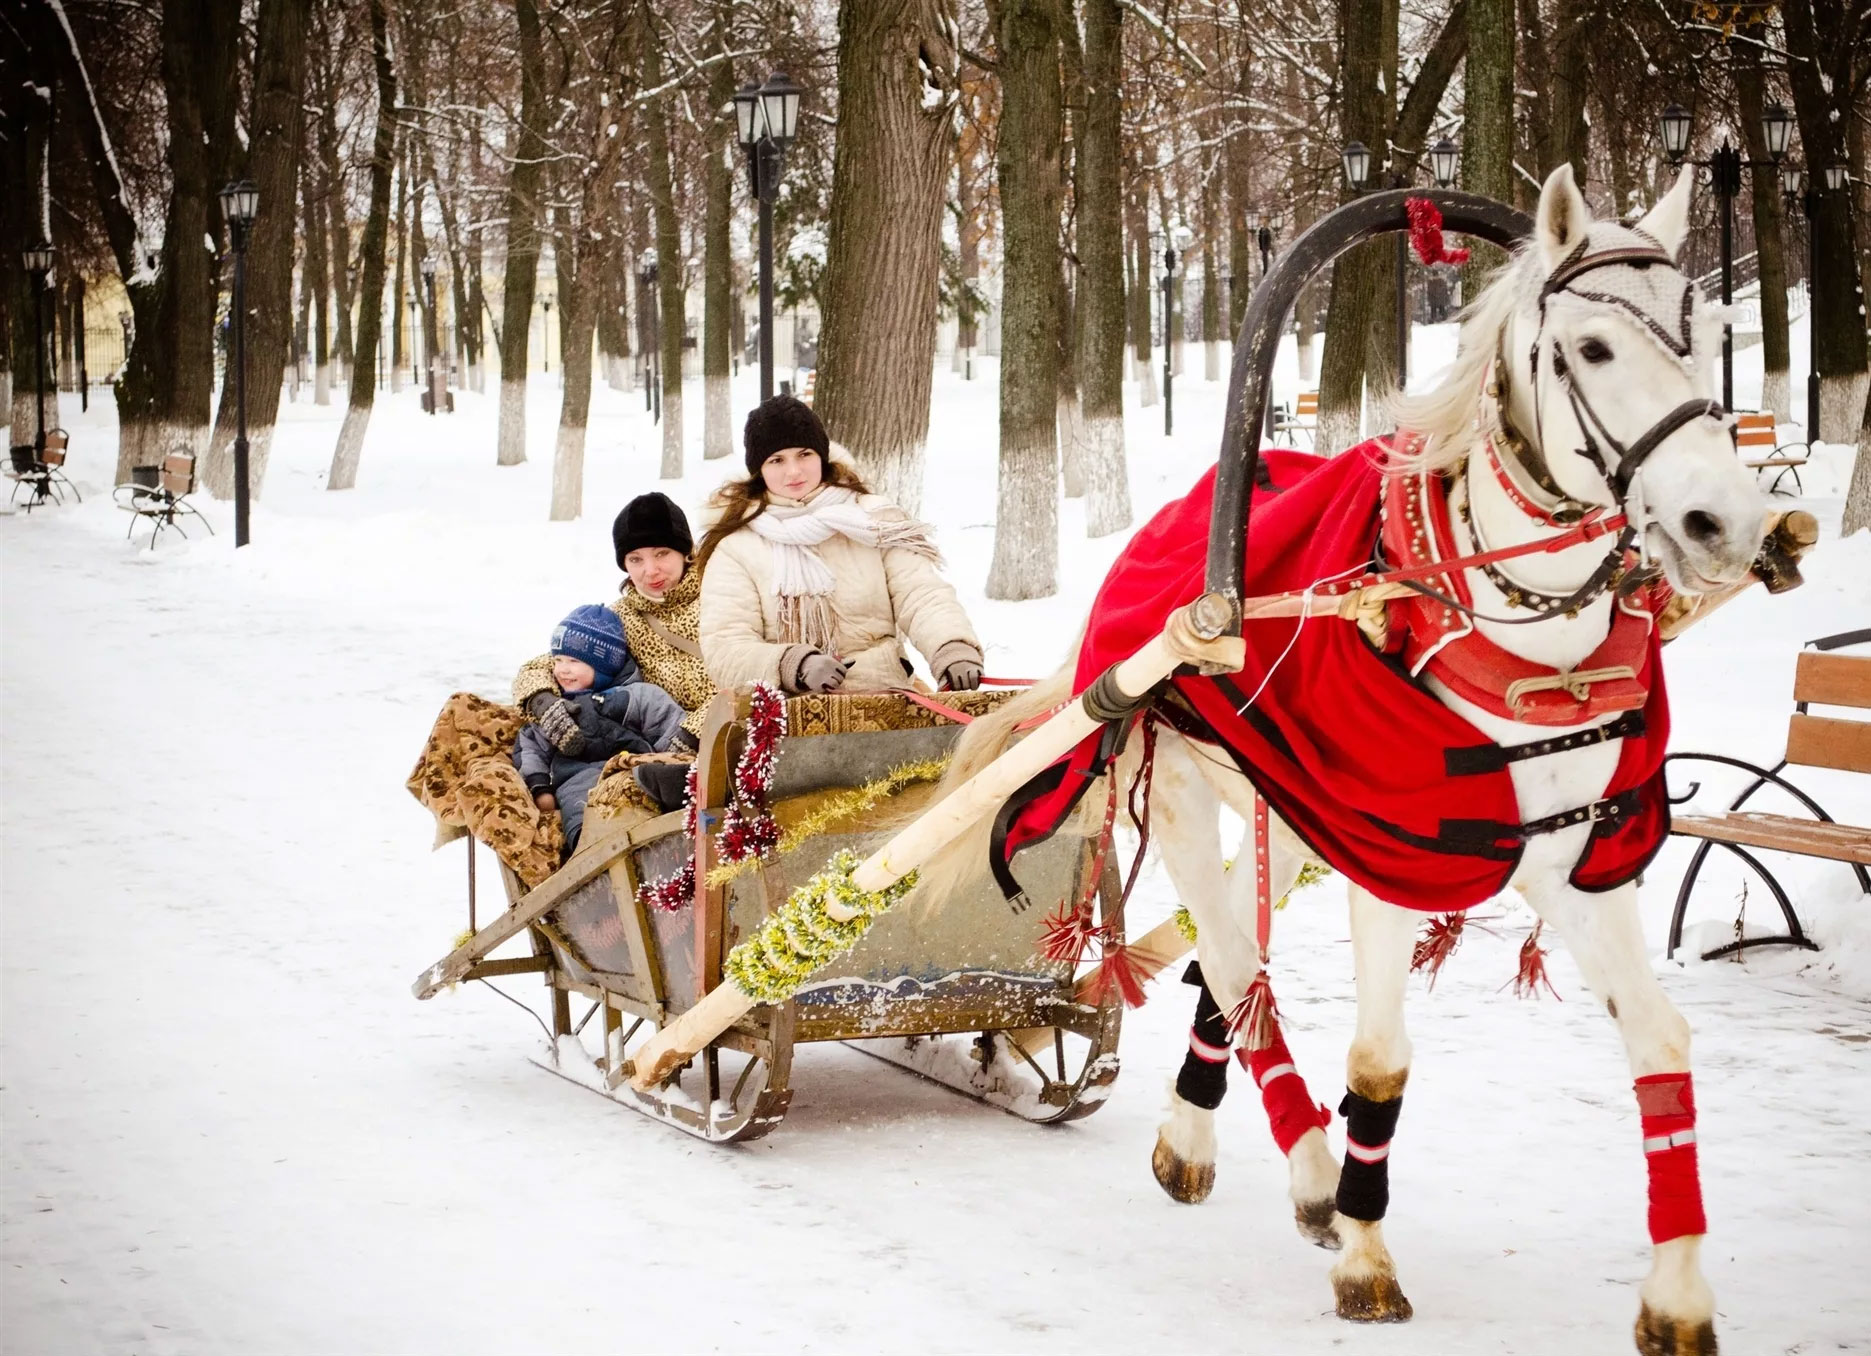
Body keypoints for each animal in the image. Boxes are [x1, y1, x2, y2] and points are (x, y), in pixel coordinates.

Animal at [935, 169, 1766, 1354]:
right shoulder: (1391, 861)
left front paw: (1679, 1295)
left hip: (1289, 817)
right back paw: (1305, 1170)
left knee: (1229, 962)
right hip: (1184, 794)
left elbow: (1661, 1041)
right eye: (1593, 348)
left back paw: (1204, 1135)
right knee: (1234, 961)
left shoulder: (1573, 864)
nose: (1723, 523)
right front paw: (1368, 1251)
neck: (1523, 654)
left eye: (1707, 336)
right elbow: (1377, 1060)